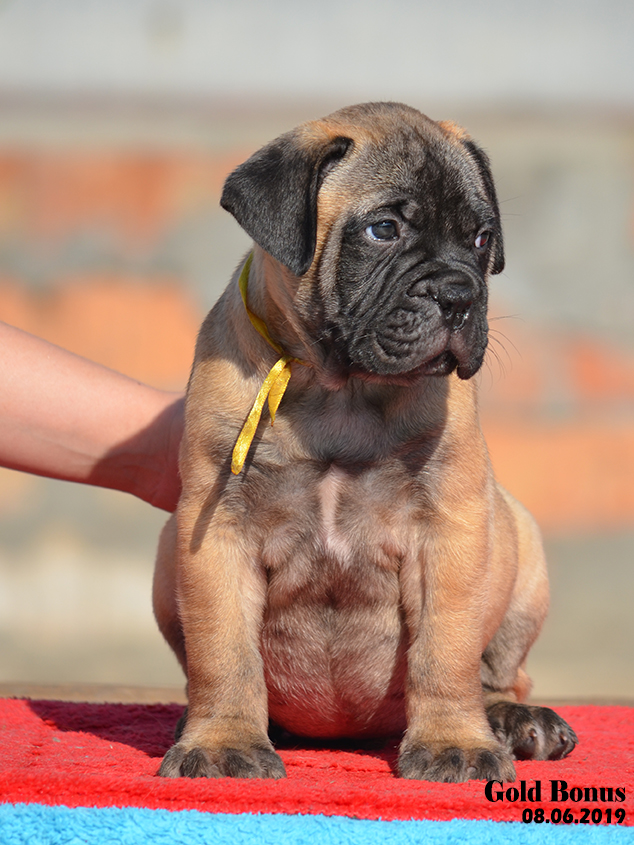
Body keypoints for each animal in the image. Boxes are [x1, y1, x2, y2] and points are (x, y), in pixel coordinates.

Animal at [152, 102, 572, 780]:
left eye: (482, 240)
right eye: (383, 230)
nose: (460, 294)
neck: (341, 391)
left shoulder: (448, 530)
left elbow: (445, 651)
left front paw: (455, 742)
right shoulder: (214, 532)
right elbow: (223, 652)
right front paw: (221, 742)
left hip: (520, 546)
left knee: (500, 673)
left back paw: (513, 721)